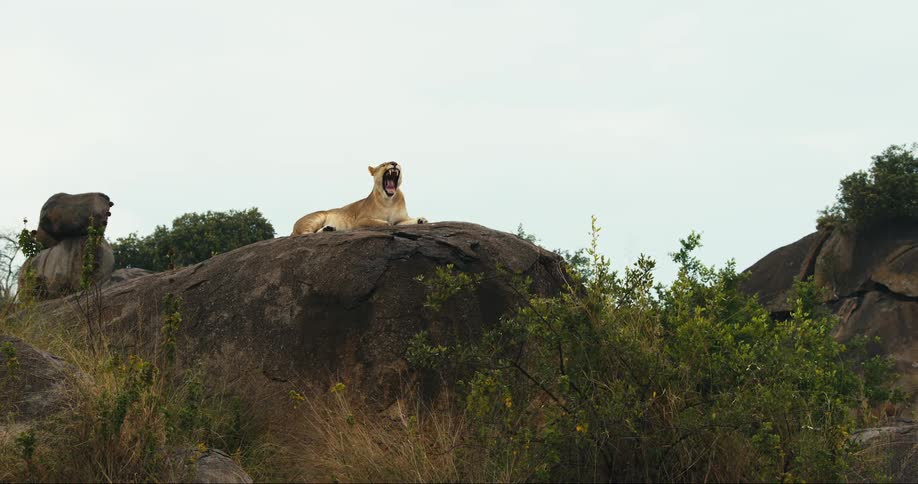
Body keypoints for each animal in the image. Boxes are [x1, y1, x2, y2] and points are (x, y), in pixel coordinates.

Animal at [291, 161, 428, 235]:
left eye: (397, 163)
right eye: (384, 164)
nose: (394, 163)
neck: (389, 200)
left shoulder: (400, 220)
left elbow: (407, 221)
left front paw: (421, 220)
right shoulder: (359, 221)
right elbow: (378, 222)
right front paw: (385, 223)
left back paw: (329, 229)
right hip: (316, 217)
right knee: (305, 233)